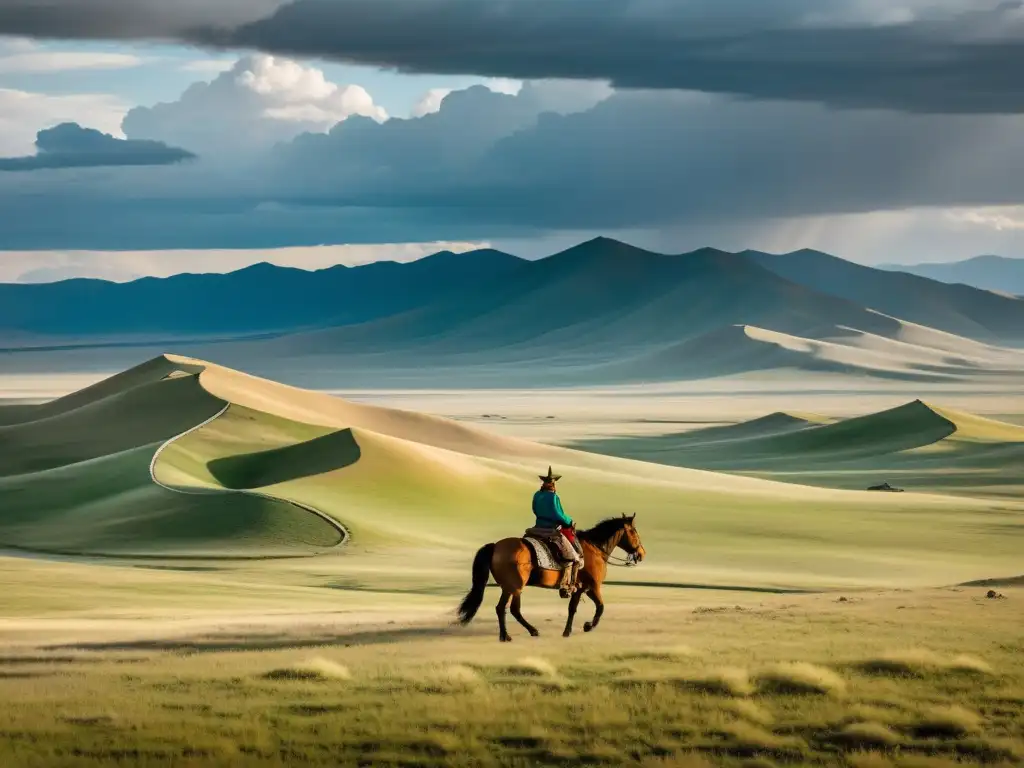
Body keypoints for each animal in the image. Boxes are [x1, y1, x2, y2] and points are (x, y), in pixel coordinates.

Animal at [458, 518, 647, 643]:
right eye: (634, 532)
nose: (641, 554)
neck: (595, 549)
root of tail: (496, 546)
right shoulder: (593, 586)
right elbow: (600, 607)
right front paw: (588, 626)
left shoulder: (581, 588)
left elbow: (573, 609)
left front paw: (568, 631)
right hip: (514, 587)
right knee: (506, 608)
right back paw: (509, 635)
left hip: (510, 587)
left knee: (509, 609)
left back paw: (526, 631)